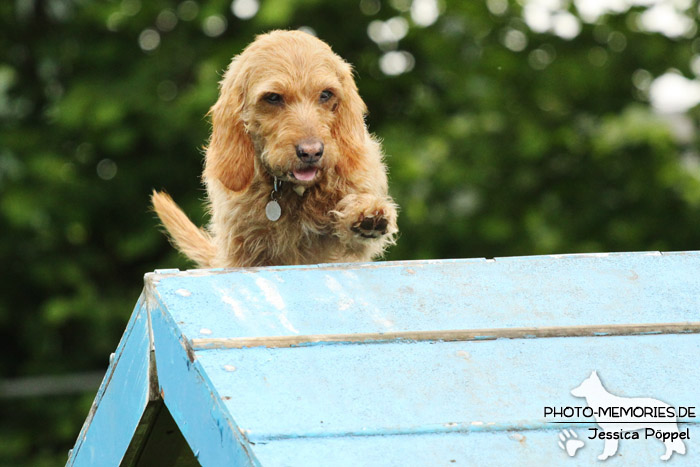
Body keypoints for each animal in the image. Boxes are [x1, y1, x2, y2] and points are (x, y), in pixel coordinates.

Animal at [150, 30, 396, 266]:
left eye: (326, 94)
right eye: (273, 97)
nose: (311, 152)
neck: (296, 192)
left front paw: (365, 213)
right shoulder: (245, 253)